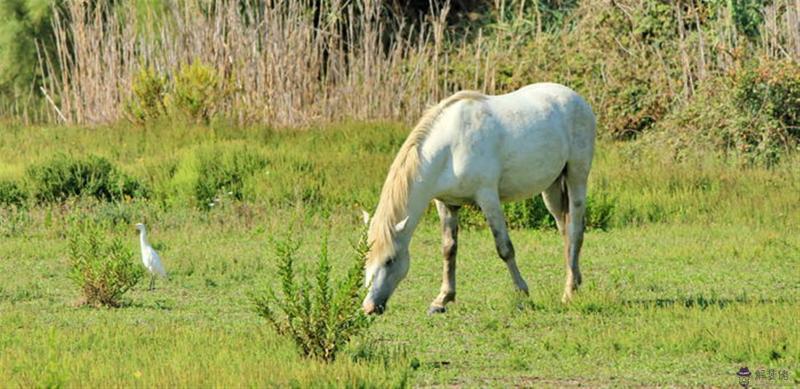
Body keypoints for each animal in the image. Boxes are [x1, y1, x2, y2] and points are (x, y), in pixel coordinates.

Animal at [362, 83, 592, 314]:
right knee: (565, 232)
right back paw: (574, 281)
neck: (450, 149)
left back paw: (568, 293)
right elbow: (449, 249)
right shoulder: (447, 204)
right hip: (551, 189)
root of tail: (577, 99)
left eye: (390, 260)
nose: (369, 307)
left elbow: (504, 248)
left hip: (576, 177)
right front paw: (442, 299)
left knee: (575, 231)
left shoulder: (488, 198)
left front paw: (522, 292)